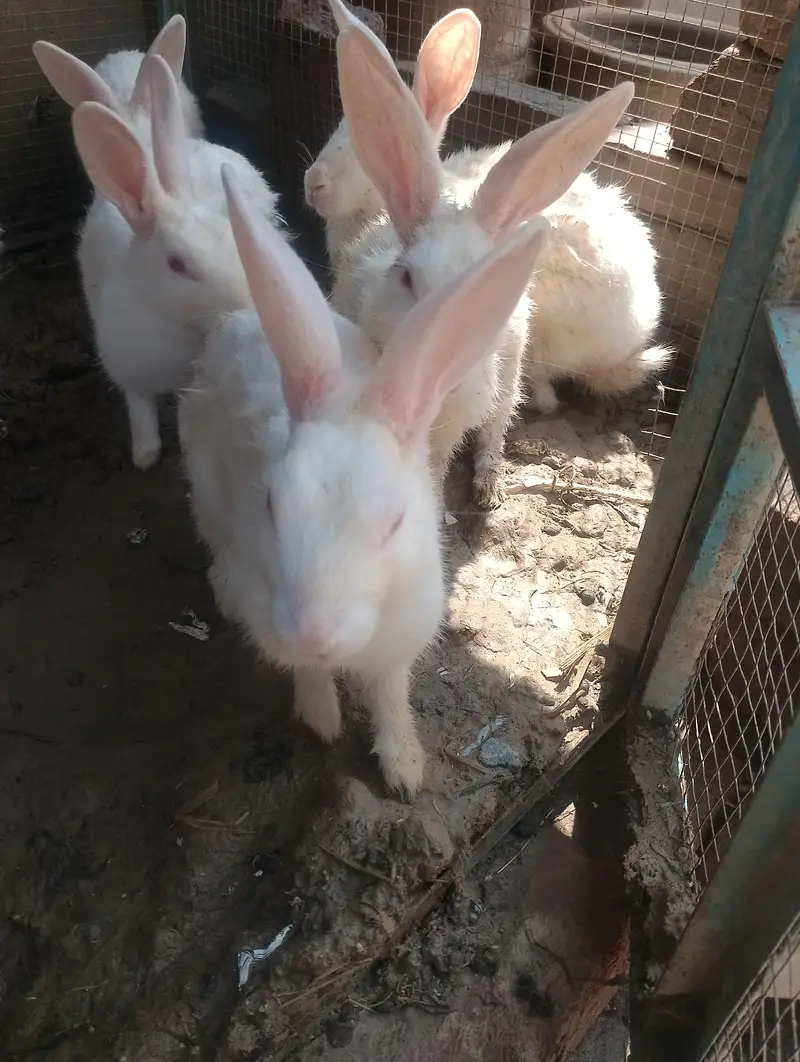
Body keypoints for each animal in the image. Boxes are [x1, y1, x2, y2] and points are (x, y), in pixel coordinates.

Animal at [73, 54, 278, 470]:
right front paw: (145, 454)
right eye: (177, 264)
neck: (174, 324)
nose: (245, 306)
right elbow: (139, 408)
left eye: (232, 235)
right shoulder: (127, 366)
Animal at [179, 163, 550, 797]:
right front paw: (322, 721)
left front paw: (404, 770)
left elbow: (390, 698)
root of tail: (242, 319)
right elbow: (308, 677)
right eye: (272, 504)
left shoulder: (398, 645)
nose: (312, 631)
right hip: (205, 487)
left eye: (395, 523)